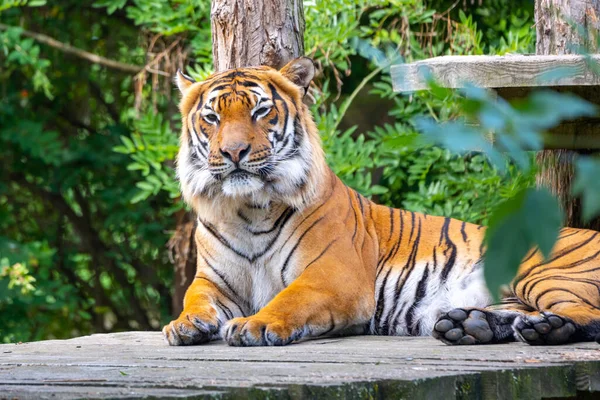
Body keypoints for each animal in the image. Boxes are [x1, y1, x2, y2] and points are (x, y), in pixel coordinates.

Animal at [162, 57, 600, 346]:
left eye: (261, 111)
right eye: (212, 118)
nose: (234, 152)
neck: (248, 208)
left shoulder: (334, 276)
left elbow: (289, 298)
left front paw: (255, 325)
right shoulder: (213, 279)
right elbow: (194, 298)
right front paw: (184, 325)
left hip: (544, 271)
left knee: (586, 314)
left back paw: (543, 328)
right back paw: (468, 325)